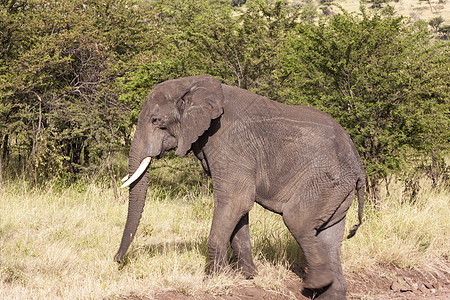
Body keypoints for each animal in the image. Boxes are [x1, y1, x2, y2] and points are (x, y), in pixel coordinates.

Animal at [116, 75, 366, 300]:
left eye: (156, 120)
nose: (117, 261)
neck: (193, 83)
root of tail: (358, 166)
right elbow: (240, 209)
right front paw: (247, 276)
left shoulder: (229, 144)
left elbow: (235, 200)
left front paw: (215, 278)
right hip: (336, 191)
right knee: (329, 235)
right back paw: (331, 292)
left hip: (325, 181)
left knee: (297, 219)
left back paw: (315, 283)